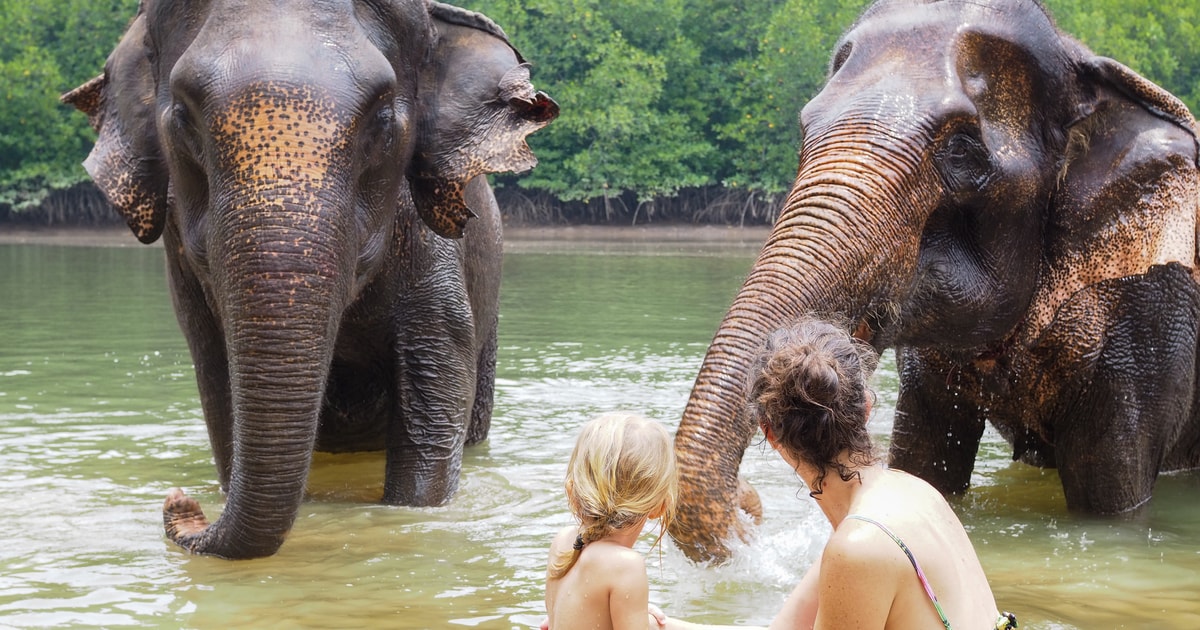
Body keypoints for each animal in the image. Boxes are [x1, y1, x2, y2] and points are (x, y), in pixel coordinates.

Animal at [62, 0, 557, 559]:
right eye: (183, 117)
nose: (179, 504)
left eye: (382, 121)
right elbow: (218, 384)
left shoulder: (426, 239)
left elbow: (437, 371)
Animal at [669, 0, 1200, 563]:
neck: (1083, 65)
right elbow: (926, 467)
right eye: (804, 128)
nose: (747, 505)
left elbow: (1111, 499)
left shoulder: (1144, 323)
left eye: (962, 150)